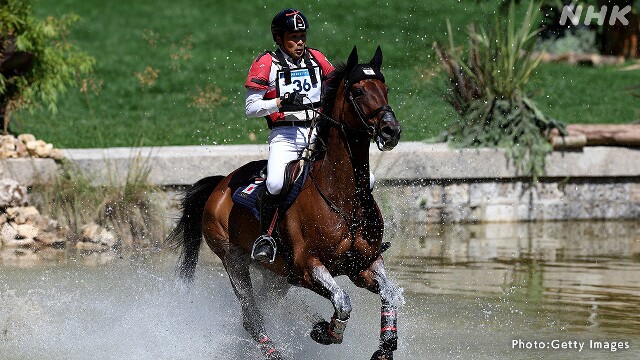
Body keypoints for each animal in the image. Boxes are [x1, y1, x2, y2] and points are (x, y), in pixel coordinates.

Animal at [168, 45, 402, 360]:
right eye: (359, 91)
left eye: (385, 89)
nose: (391, 131)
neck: (344, 200)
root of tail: (219, 185)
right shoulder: (307, 267)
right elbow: (343, 301)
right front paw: (325, 332)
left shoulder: (363, 265)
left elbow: (391, 294)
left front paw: (386, 347)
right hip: (234, 260)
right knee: (252, 316)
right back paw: (274, 351)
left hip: (276, 277)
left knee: (261, 308)